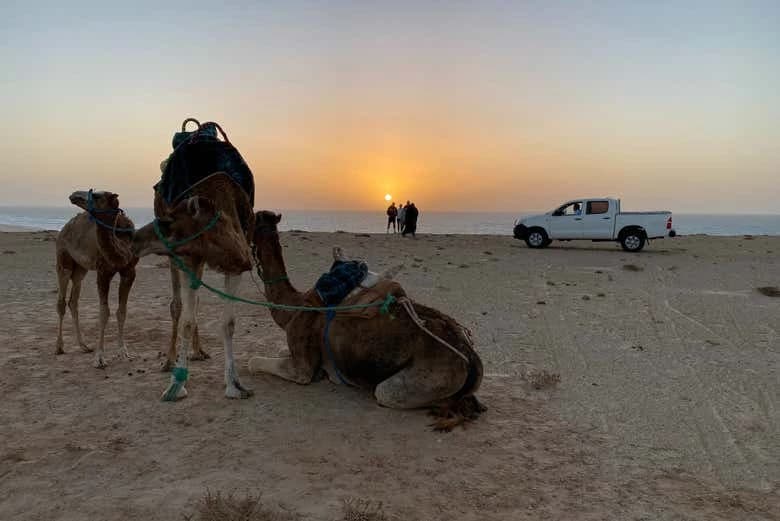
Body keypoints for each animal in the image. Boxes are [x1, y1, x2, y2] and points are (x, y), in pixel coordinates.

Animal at [55, 190, 138, 368]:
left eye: (98, 196)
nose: (74, 195)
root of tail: (65, 228)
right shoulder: (103, 272)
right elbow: (104, 312)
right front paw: (100, 358)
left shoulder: (129, 271)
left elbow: (122, 311)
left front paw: (124, 352)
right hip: (63, 258)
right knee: (61, 302)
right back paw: (59, 347)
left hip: (81, 268)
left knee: (73, 300)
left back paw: (84, 346)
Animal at [132, 174, 255, 400]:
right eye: (166, 215)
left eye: (169, 222)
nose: (134, 238)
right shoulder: (188, 258)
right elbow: (187, 323)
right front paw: (176, 385)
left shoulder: (235, 266)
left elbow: (228, 323)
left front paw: (234, 385)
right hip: (174, 260)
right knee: (177, 305)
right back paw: (169, 361)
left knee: (194, 302)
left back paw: (199, 352)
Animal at [249, 210, 486, 430]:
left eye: (251, 219)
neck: (294, 305)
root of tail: (472, 361)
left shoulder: (302, 367)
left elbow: (253, 362)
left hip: (423, 381)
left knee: (387, 393)